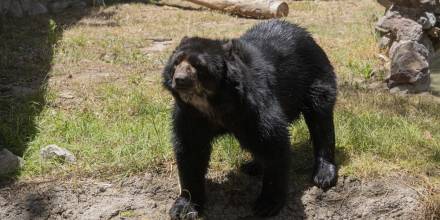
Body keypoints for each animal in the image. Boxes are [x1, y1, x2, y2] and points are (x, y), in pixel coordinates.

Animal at [162, 19, 336, 219]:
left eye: (198, 65)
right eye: (176, 63)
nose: (180, 80)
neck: (213, 104)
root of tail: (305, 33)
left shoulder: (252, 105)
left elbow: (272, 142)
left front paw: (267, 204)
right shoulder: (190, 115)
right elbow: (190, 151)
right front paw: (184, 206)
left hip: (315, 78)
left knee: (320, 119)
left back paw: (324, 174)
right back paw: (252, 166)